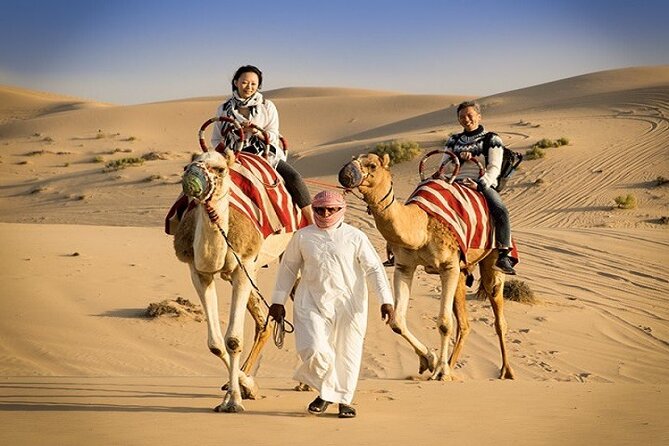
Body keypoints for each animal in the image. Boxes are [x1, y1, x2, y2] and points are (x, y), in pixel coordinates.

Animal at [336, 152, 516, 380]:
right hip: (461, 272)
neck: (421, 226)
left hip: (490, 257)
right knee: (464, 325)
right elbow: (397, 322)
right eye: (354, 158)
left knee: (498, 316)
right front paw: (429, 360)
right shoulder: (405, 266)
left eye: (372, 165)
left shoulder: (448, 265)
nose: (345, 173)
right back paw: (451, 366)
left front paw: (440, 371)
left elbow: (444, 324)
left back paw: (505, 371)